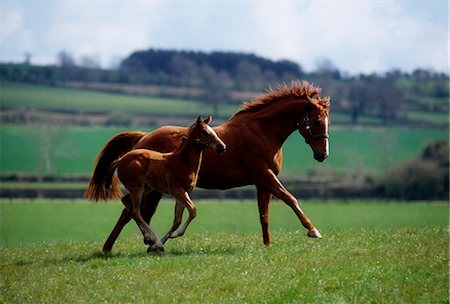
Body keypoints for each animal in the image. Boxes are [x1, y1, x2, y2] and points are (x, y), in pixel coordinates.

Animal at [84, 116, 225, 252]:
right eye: (205, 132)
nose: (222, 147)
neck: (181, 161)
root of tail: (120, 159)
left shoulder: (183, 193)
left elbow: (177, 219)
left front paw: (168, 238)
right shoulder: (177, 190)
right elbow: (193, 210)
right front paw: (163, 241)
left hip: (147, 188)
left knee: (128, 204)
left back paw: (149, 239)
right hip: (137, 188)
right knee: (135, 211)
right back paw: (154, 239)